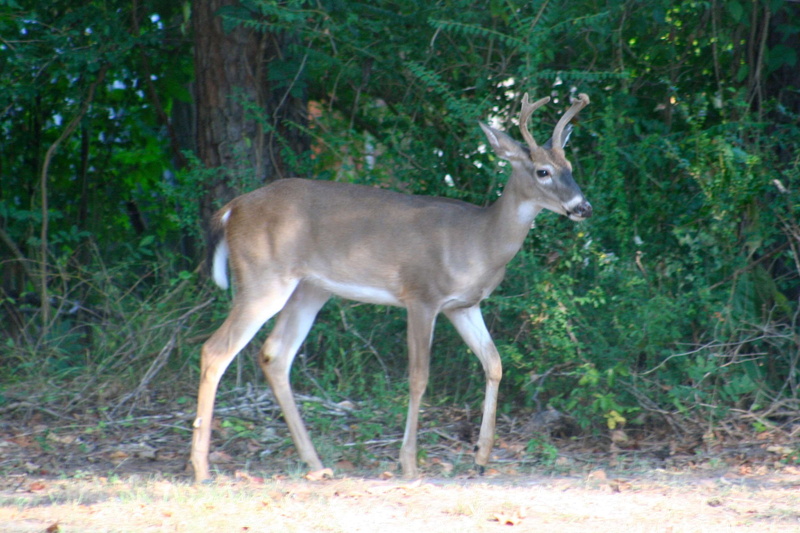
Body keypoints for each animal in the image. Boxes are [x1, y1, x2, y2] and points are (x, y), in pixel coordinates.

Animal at [190, 92, 591, 482]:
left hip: (310, 289)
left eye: (571, 167)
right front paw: (409, 464)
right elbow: (418, 377)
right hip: (264, 278)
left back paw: (316, 464)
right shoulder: (421, 295)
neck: (480, 241)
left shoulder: (463, 305)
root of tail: (232, 208)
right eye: (542, 171)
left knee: (275, 354)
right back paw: (202, 469)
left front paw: (481, 457)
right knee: (216, 350)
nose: (583, 207)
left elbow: (494, 363)